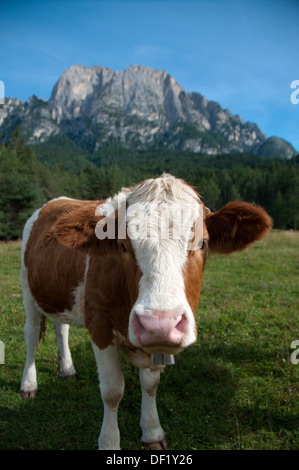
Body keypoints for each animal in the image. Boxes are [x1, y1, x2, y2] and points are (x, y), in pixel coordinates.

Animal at [18, 173, 272, 448]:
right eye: (122, 245)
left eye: (202, 242)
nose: (160, 325)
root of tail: (56, 201)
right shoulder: (99, 324)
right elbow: (112, 390)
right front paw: (109, 441)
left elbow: (150, 384)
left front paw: (152, 431)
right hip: (27, 291)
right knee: (31, 335)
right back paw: (29, 384)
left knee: (61, 327)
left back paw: (67, 370)